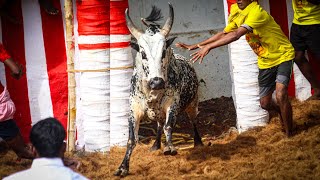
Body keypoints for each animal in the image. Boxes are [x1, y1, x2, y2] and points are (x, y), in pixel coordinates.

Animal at [114, 3, 202, 177]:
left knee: (193, 121)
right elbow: (131, 139)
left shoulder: (172, 105)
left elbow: (169, 126)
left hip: (192, 103)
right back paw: (155, 145)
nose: (157, 82)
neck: (152, 93)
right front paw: (123, 167)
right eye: (143, 53)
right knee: (159, 125)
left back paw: (198, 143)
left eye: (163, 51)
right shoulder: (134, 109)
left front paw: (170, 147)